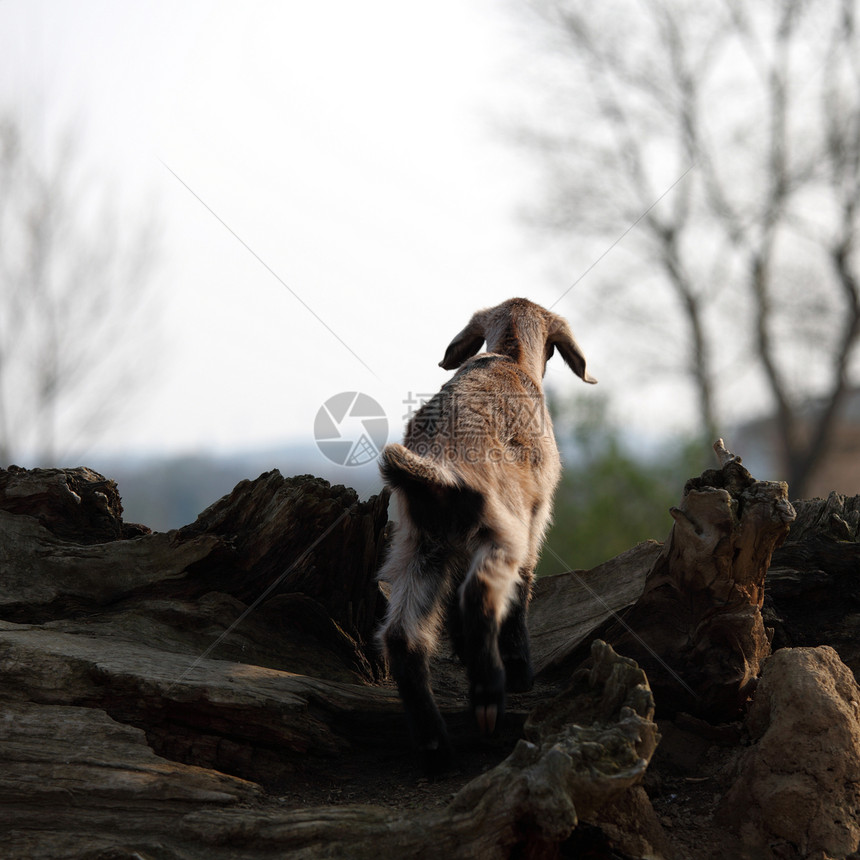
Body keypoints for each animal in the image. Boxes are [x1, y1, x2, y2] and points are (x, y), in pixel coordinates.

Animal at [376, 298, 596, 772]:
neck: (510, 357)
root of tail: (438, 468)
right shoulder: (535, 519)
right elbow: (522, 590)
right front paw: (521, 673)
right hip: (499, 528)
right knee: (479, 594)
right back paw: (488, 696)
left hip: (418, 546)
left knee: (403, 636)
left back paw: (435, 745)